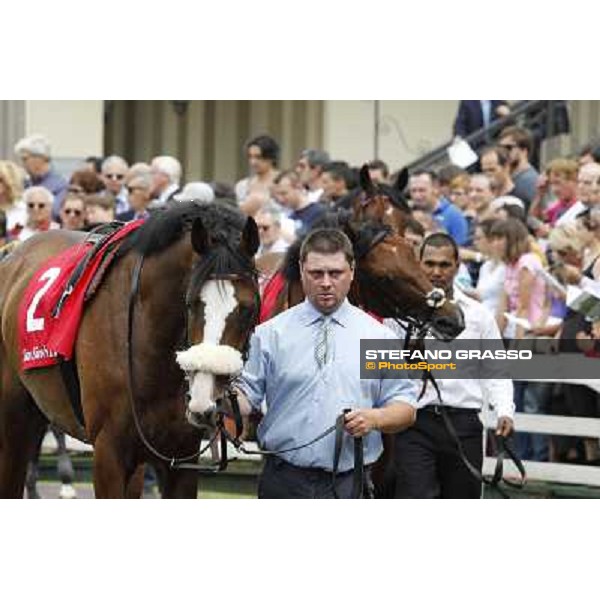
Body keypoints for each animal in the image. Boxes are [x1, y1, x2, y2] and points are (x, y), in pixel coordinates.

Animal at [0, 204, 260, 500]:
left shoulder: (181, 457)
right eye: (191, 303)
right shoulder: (108, 453)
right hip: (13, 423)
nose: (205, 401)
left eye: (250, 308)